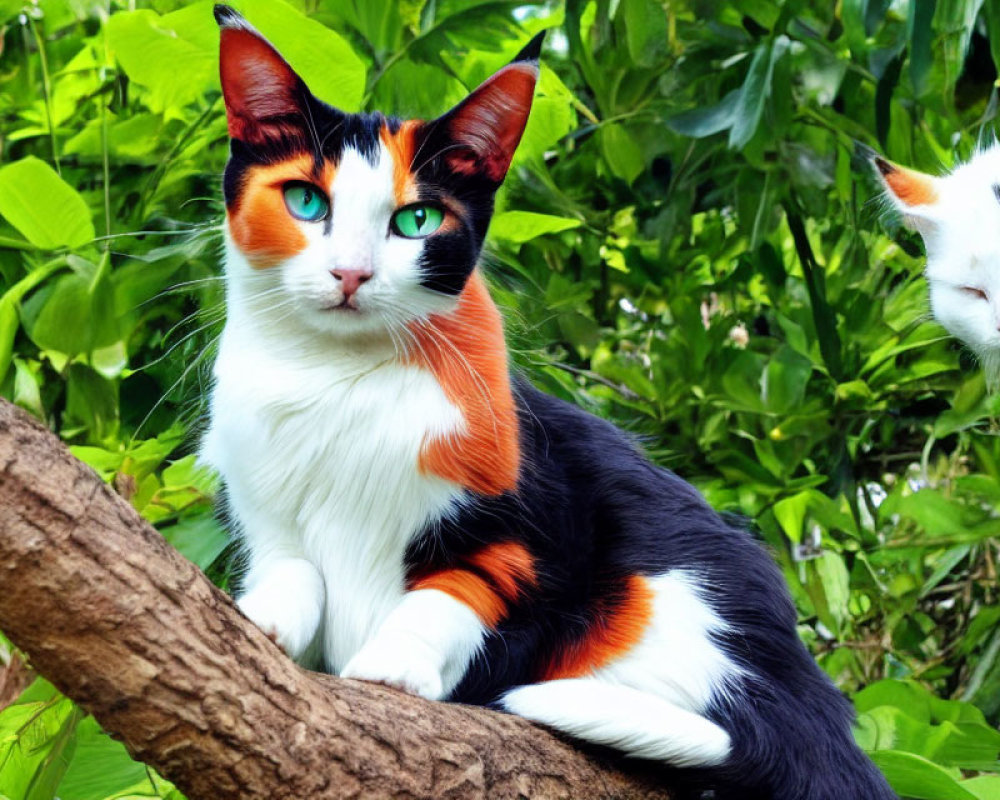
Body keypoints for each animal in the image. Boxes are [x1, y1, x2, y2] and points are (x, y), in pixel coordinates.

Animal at [205, 7, 900, 800]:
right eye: (306, 201)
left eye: (416, 221)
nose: (351, 273)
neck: (333, 378)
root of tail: (823, 731)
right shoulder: (258, 506)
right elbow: (291, 568)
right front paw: (262, 614)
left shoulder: (539, 513)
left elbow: (462, 587)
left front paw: (397, 663)